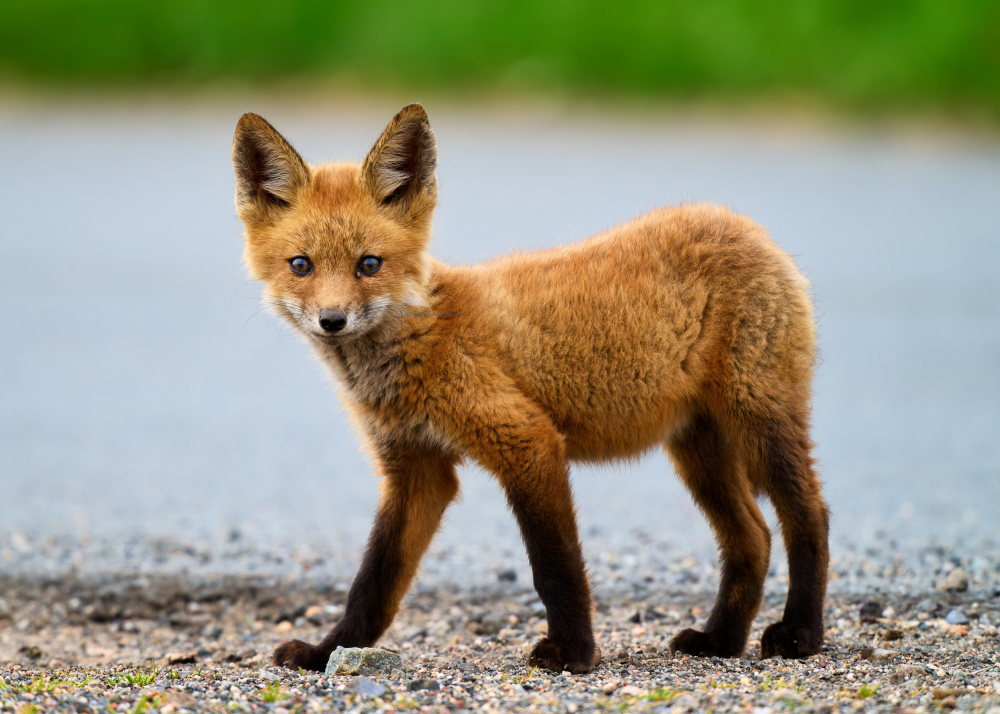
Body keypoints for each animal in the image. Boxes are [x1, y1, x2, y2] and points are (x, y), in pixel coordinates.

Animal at [232, 103, 828, 672]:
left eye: (369, 264)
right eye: (301, 266)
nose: (332, 321)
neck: (423, 341)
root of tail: (742, 222)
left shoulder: (527, 442)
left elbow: (554, 566)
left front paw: (573, 653)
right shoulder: (415, 471)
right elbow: (373, 583)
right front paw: (328, 652)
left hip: (760, 422)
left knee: (809, 516)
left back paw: (800, 633)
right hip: (698, 450)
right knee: (753, 537)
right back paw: (721, 640)